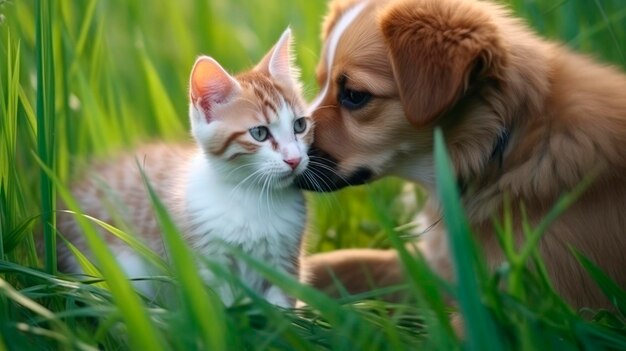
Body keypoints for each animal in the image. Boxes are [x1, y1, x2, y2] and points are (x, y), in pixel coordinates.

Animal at [57, 28, 310, 308]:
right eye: (260, 133)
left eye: (300, 125)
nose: (294, 159)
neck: (251, 194)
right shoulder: (207, 261)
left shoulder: (284, 261)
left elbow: (279, 307)